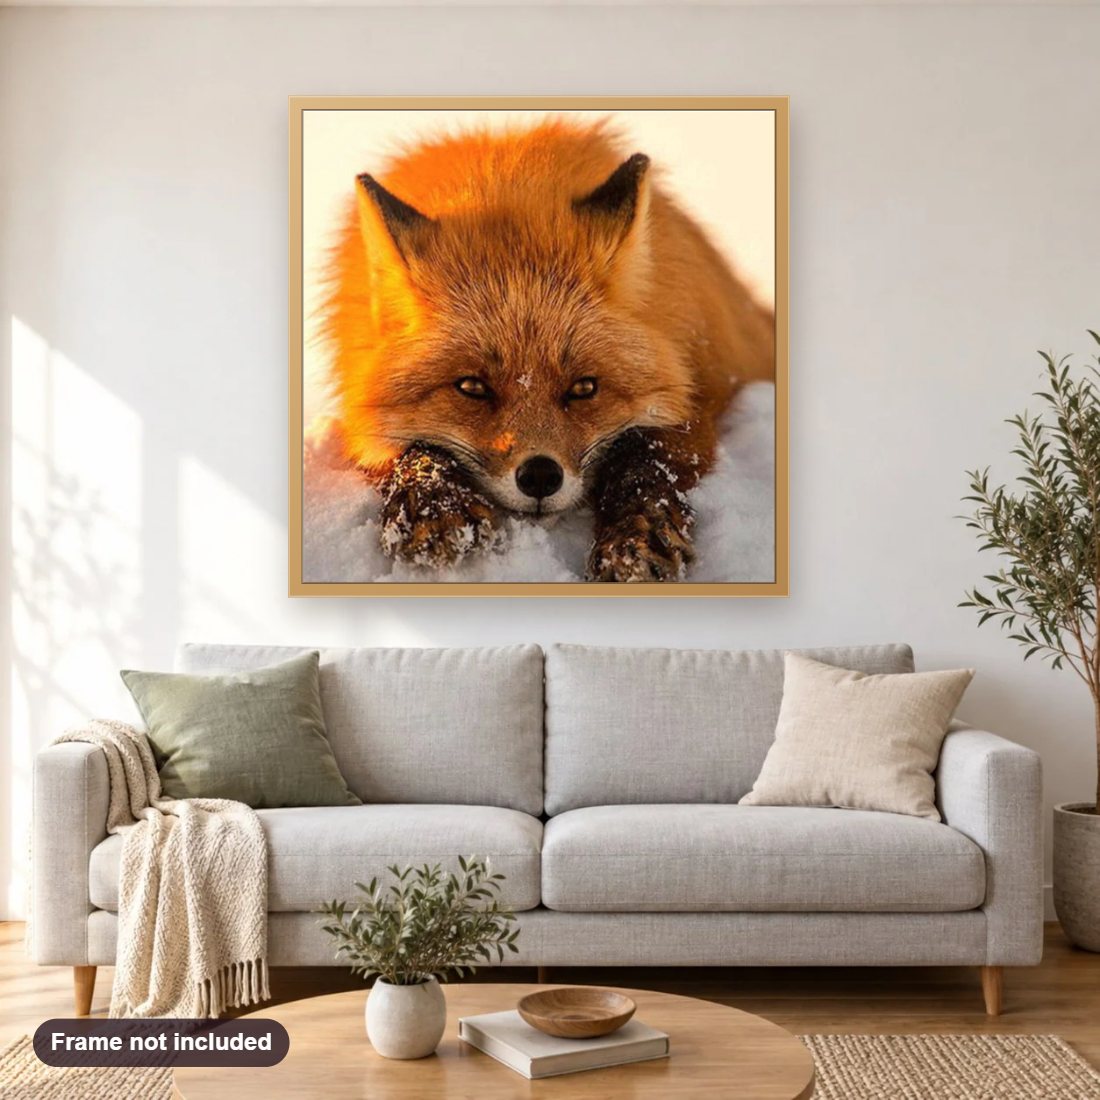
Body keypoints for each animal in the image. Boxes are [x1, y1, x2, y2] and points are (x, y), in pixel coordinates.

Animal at [319, 117, 775, 582]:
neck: (505, 183)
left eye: (584, 388)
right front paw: (434, 506)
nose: (540, 476)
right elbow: (413, 449)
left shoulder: (701, 394)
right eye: (472, 387)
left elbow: (645, 455)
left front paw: (636, 535)